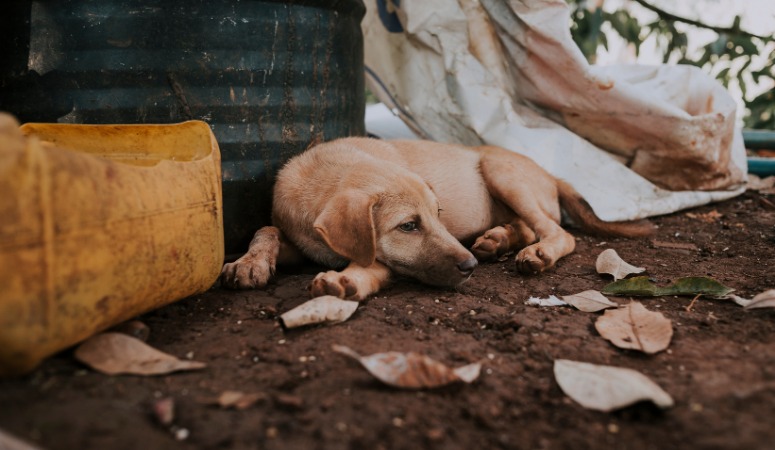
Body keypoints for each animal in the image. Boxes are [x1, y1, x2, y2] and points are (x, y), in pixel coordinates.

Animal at [221, 137, 652, 298]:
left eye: (438, 214)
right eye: (408, 226)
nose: (470, 267)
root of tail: (550, 174)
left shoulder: (381, 259)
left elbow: (371, 264)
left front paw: (346, 280)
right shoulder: (302, 240)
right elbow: (266, 228)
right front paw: (250, 262)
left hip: (501, 170)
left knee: (558, 232)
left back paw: (535, 253)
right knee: (530, 227)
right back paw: (497, 239)